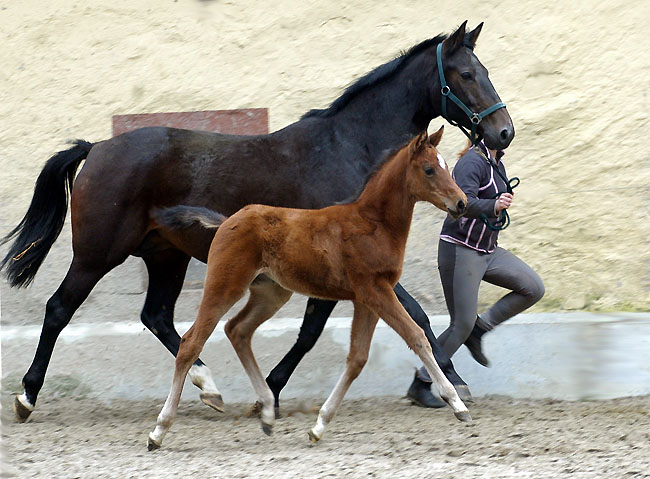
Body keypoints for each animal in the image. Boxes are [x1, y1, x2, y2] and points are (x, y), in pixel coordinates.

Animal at [147, 127, 468, 450]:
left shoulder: (366, 299)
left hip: (271, 293)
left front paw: (319, 426)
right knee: (191, 342)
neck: (373, 223)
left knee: (237, 330)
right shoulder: (376, 291)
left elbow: (358, 358)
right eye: (429, 169)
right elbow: (416, 336)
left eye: (446, 165)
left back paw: (266, 411)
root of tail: (228, 221)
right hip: (225, 284)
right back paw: (160, 430)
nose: (462, 203)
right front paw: (456, 403)